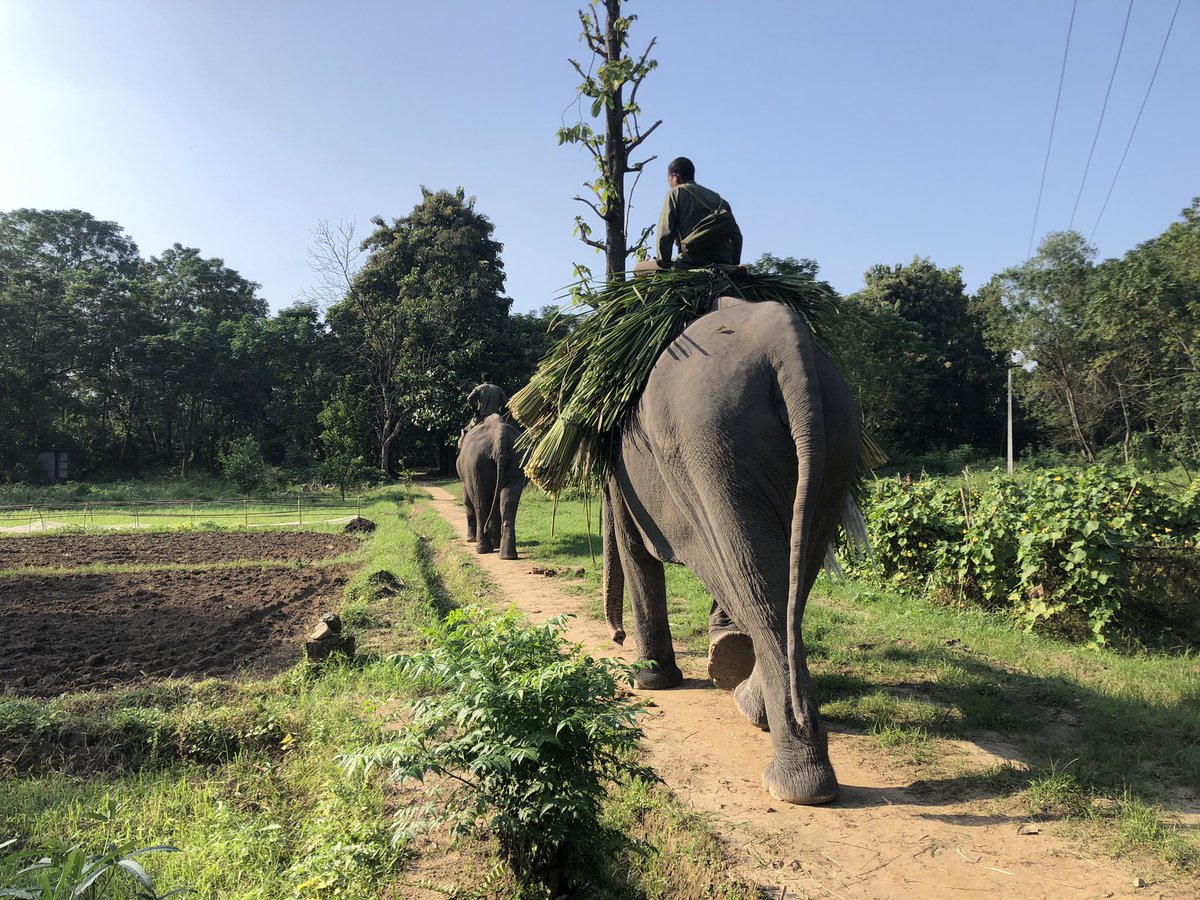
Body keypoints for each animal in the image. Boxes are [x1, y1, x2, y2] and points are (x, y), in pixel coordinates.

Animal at [457, 413, 527, 560]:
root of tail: (500, 438)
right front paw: (495, 544)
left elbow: (467, 501)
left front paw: (470, 539)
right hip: (517, 461)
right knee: (508, 502)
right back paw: (507, 555)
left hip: (475, 465)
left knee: (480, 504)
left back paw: (482, 549)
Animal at [602, 296, 862, 805]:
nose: (615, 637)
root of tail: (788, 345)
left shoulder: (623, 476)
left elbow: (636, 550)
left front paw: (650, 683)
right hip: (833, 438)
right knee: (785, 579)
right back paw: (756, 708)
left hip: (712, 441)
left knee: (756, 583)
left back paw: (792, 783)